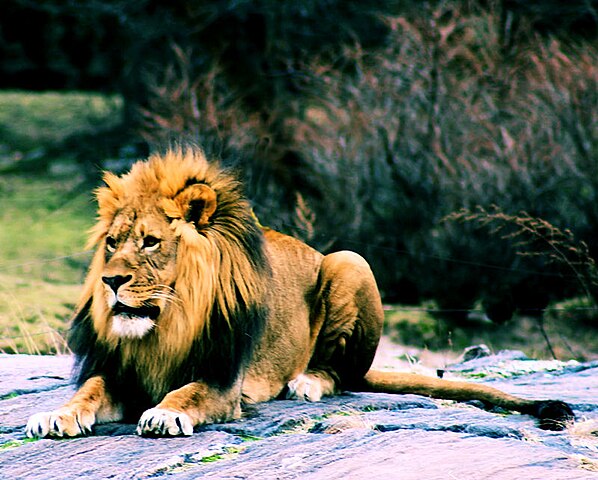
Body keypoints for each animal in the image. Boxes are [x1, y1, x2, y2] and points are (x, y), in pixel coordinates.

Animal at [25, 146, 576, 438]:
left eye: (151, 242)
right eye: (112, 244)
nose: (110, 281)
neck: (165, 326)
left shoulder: (223, 380)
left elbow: (189, 391)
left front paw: (164, 412)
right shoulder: (117, 370)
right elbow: (89, 391)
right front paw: (56, 414)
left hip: (350, 262)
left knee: (344, 374)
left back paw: (306, 382)